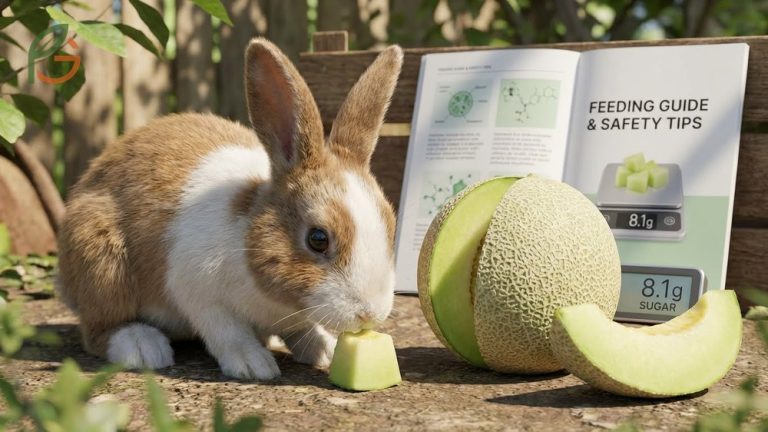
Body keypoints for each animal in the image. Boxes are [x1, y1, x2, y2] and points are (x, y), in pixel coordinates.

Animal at [56, 38, 403, 380]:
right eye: (318, 239)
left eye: (391, 227)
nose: (369, 313)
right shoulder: (197, 290)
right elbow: (227, 331)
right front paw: (254, 364)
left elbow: (304, 329)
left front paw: (324, 350)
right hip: (101, 263)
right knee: (98, 330)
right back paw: (142, 347)